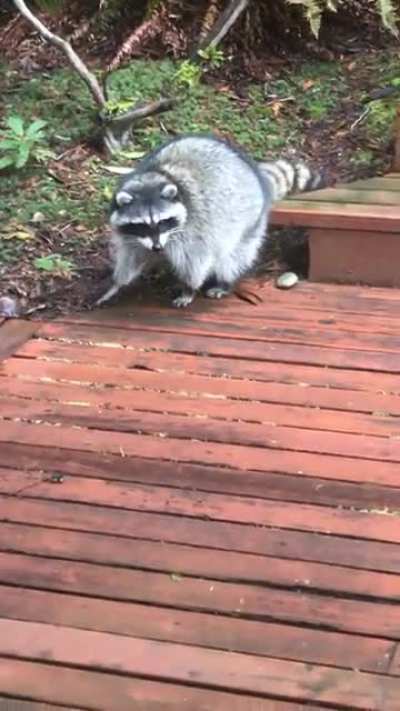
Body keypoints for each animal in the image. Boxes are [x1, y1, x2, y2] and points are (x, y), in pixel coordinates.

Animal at [97, 134, 320, 308]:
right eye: (142, 224)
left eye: (163, 221)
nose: (157, 248)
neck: (155, 178)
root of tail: (257, 176)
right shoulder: (131, 235)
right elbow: (131, 256)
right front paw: (116, 285)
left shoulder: (194, 227)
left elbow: (195, 260)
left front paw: (189, 288)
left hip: (249, 220)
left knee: (233, 256)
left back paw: (225, 281)